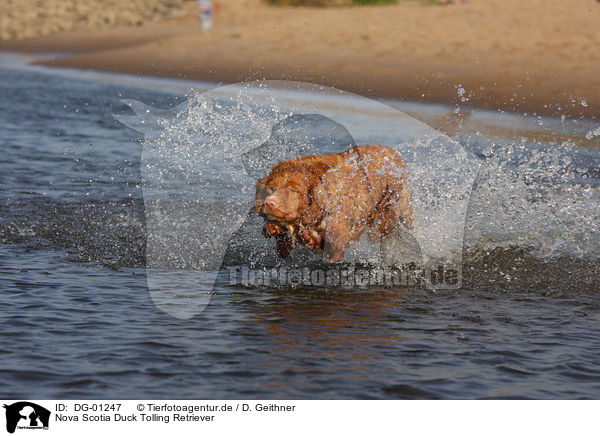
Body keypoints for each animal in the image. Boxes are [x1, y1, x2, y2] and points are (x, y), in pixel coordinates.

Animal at [252, 145, 412, 262]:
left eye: (293, 190)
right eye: (271, 188)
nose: (269, 203)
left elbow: (333, 244)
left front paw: (311, 238)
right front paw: (273, 228)